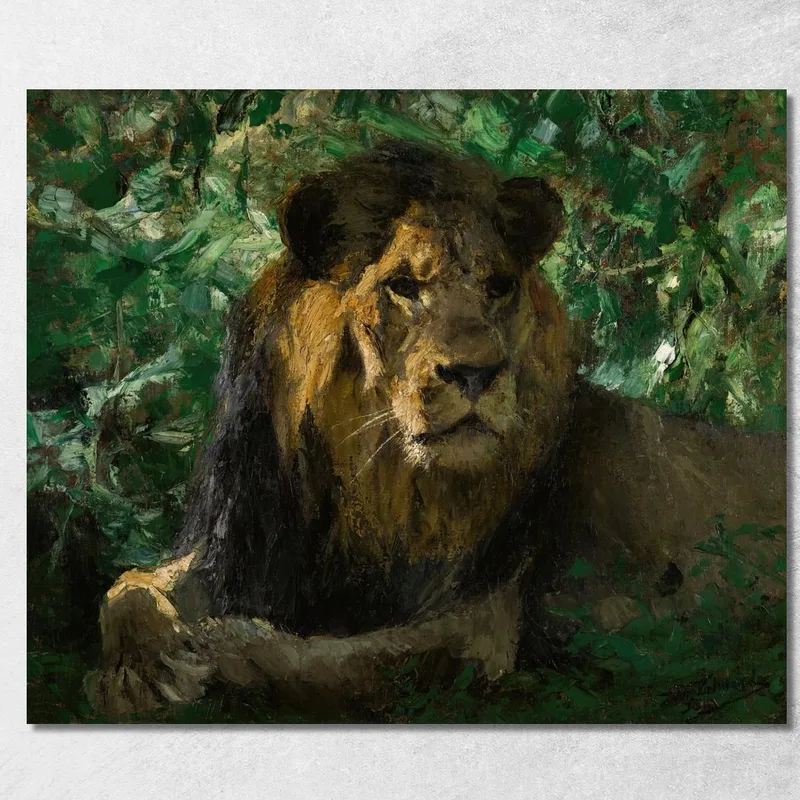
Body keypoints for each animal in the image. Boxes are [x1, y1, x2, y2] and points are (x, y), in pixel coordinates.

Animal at [88, 142, 786, 716]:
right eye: (402, 286)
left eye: (499, 286)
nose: (477, 373)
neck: (377, 493)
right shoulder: (240, 551)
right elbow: (126, 589)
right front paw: (143, 663)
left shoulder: (479, 621)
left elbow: (333, 661)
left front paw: (207, 656)